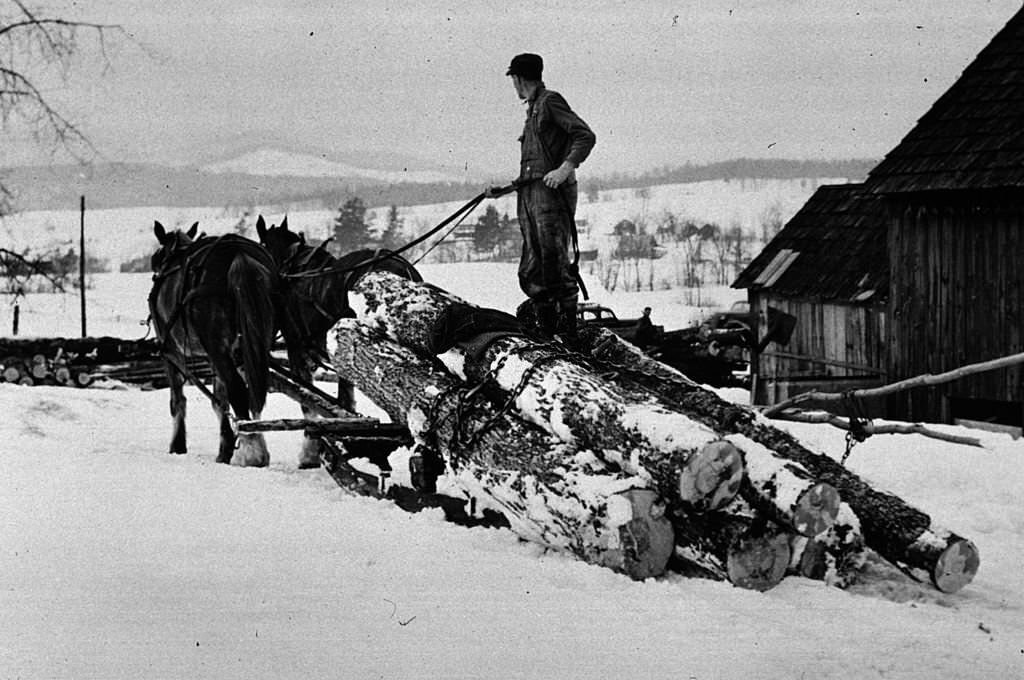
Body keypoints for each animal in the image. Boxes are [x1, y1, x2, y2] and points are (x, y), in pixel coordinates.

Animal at [148, 223, 284, 466]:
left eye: (159, 253)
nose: (154, 266)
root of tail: (238, 253)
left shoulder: (171, 352)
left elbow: (178, 400)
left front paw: (178, 445)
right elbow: (220, 400)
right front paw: (225, 447)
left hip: (215, 345)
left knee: (238, 389)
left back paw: (253, 452)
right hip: (255, 343)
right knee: (252, 389)